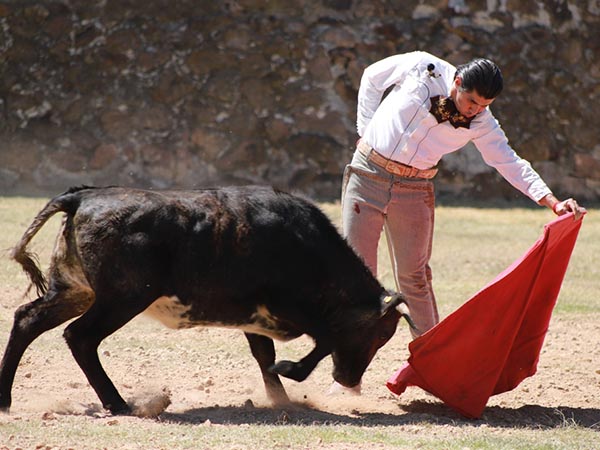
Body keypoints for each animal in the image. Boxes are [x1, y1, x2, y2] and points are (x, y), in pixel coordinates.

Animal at [0, 186, 412, 414]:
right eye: (380, 335)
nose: (348, 379)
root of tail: (82, 196)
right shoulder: (285, 306)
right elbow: (323, 339)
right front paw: (290, 372)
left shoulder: (255, 317)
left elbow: (264, 355)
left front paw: (280, 399)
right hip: (120, 300)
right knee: (80, 337)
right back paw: (117, 403)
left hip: (74, 291)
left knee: (27, 320)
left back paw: (5, 398)